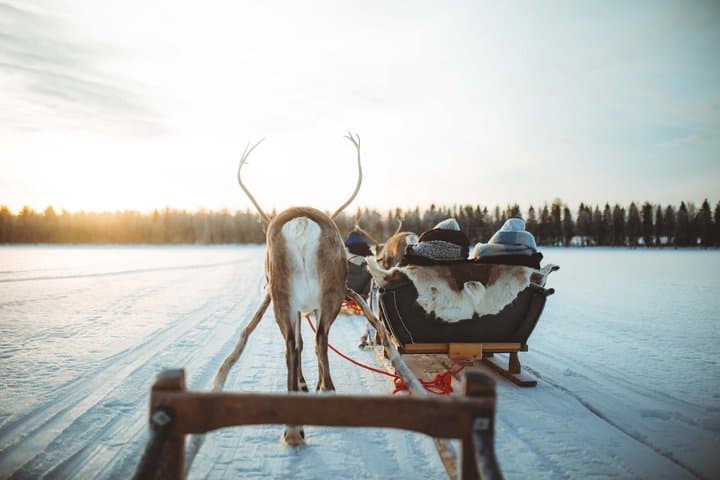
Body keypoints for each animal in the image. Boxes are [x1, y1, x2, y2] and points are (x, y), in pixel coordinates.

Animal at [237, 132, 362, 446]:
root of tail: (301, 223)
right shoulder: (306, 308)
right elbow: (309, 344)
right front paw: (310, 385)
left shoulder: (301, 308)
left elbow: (304, 344)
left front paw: (307, 385)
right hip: (321, 297)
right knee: (313, 341)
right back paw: (314, 406)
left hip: (287, 299)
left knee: (297, 345)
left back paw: (297, 424)